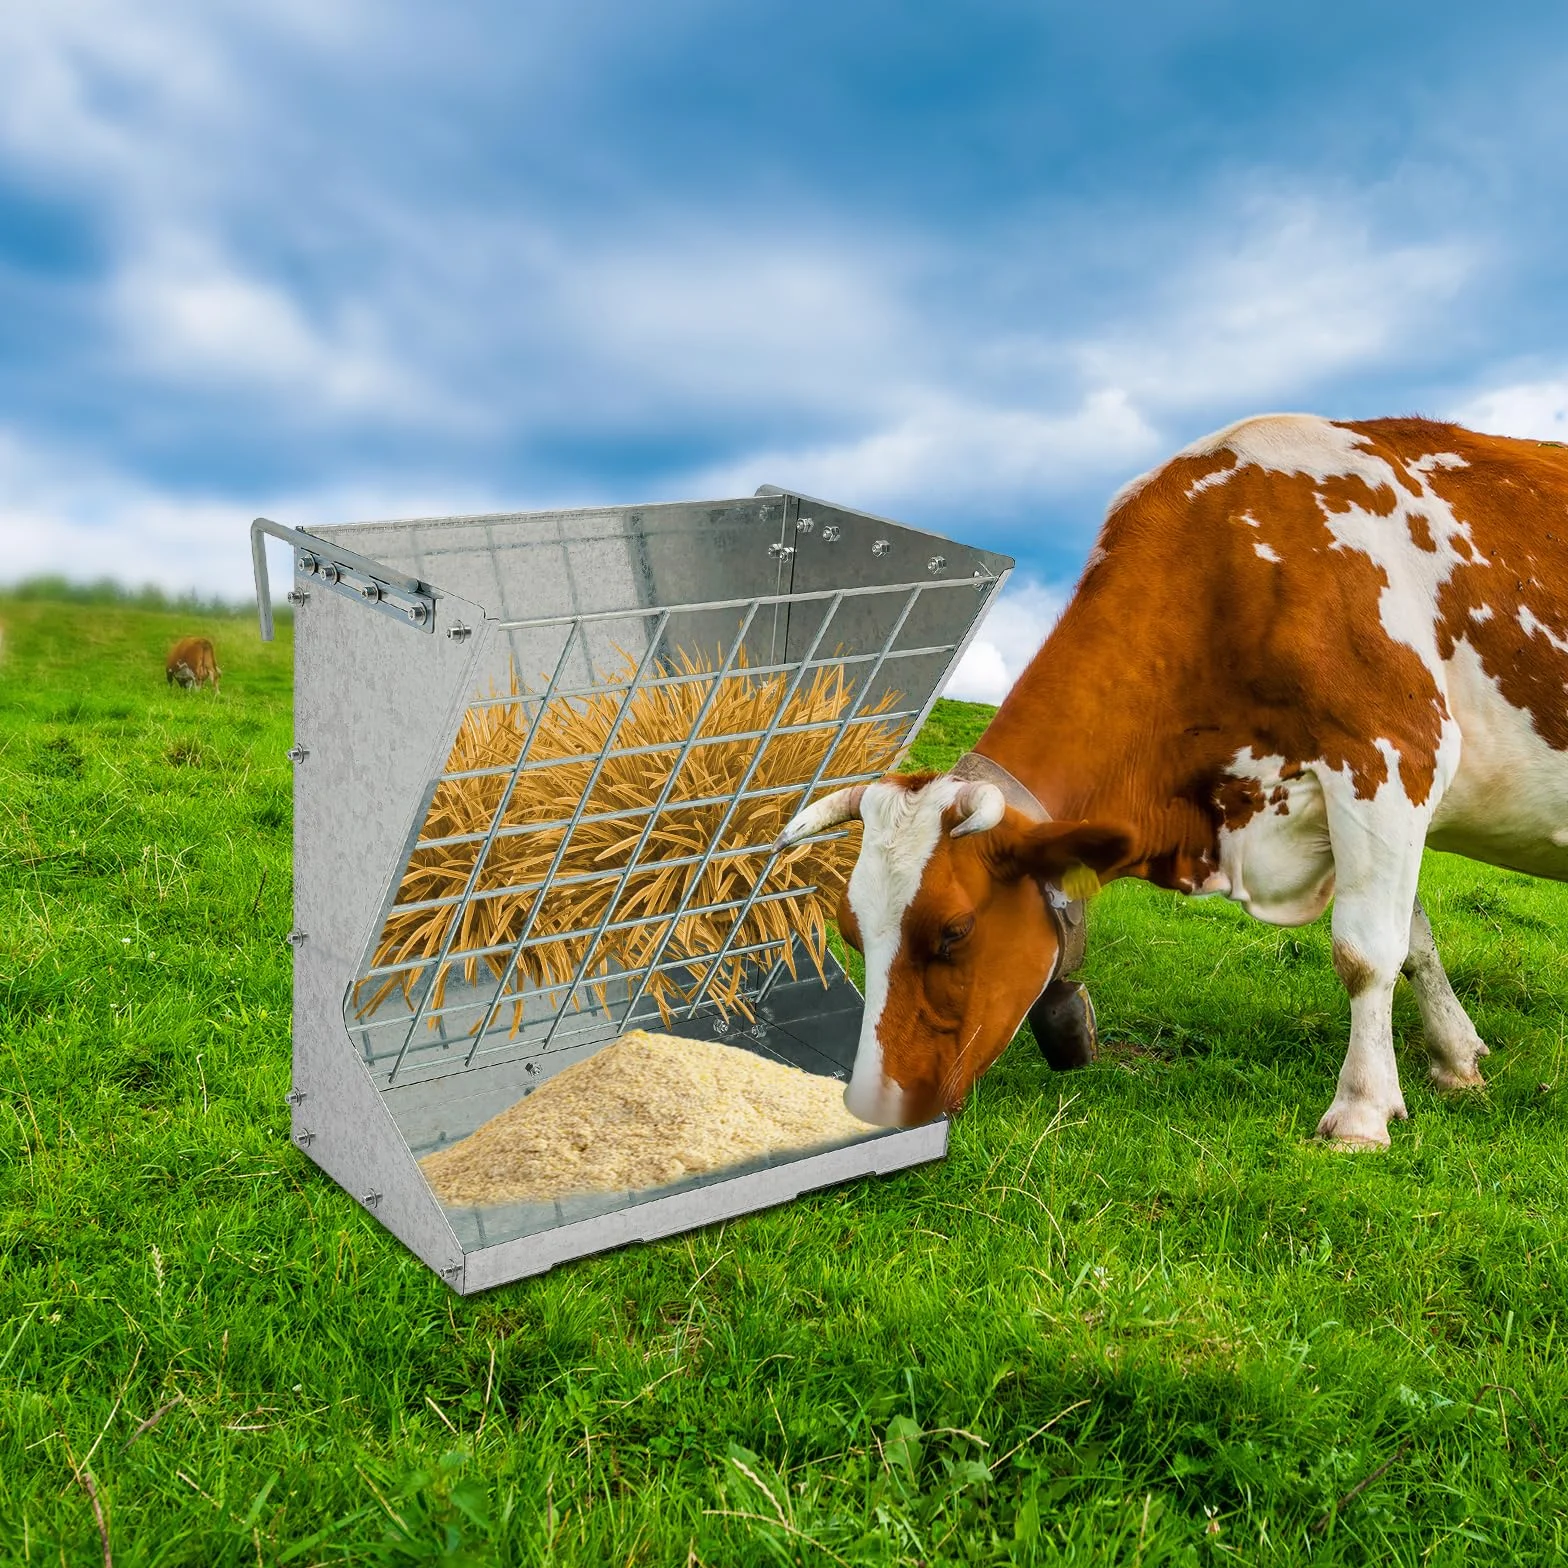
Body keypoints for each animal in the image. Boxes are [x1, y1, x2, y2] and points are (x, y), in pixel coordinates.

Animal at [778, 414, 1568, 1148]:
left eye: (954, 931)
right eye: (849, 930)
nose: (874, 1108)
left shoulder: (1390, 753)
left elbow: (1367, 951)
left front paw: (1362, 1113)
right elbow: (1415, 940)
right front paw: (1455, 1061)